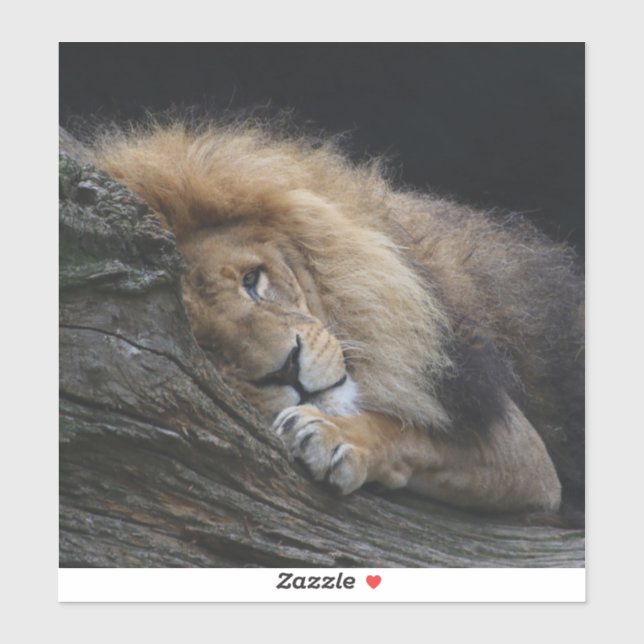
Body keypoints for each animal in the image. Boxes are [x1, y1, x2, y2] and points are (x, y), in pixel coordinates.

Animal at [89, 118, 584, 514]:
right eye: (205, 346)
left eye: (252, 280)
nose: (287, 369)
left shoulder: (520, 448)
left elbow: (408, 432)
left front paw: (333, 434)